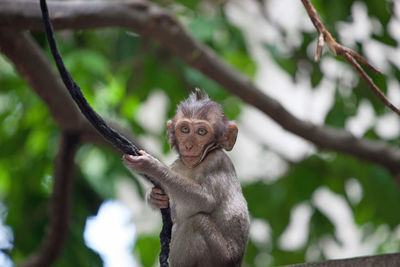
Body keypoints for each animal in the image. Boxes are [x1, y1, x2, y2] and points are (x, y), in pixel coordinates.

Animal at [124, 90, 250, 267]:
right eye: (184, 129)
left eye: (202, 132)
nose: (189, 145)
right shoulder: (178, 165)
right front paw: (154, 197)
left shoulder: (217, 162)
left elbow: (205, 201)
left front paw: (152, 166)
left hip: (221, 258)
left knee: (197, 222)